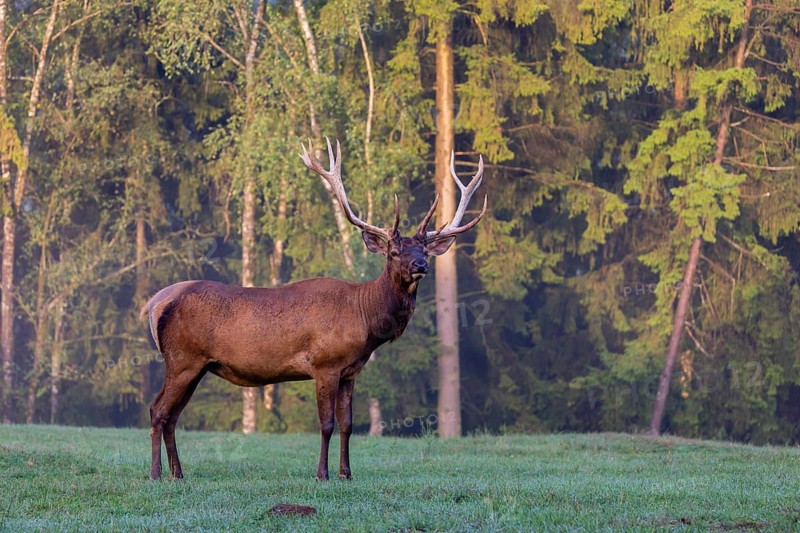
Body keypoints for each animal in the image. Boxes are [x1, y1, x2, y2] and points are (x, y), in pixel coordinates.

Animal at [141, 138, 486, 481]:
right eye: (394, 251)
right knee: (158, 410)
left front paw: (347, 474)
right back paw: (156, 473)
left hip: (196, 366)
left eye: (425, 250)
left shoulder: (351, 371)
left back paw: (178, 473)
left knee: (172, 415)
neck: (365, 319)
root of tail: (155, 303)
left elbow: (348, 425)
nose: (421, 266)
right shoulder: (325, 364)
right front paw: (322, 473)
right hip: (182, 359)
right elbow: (327, 424)